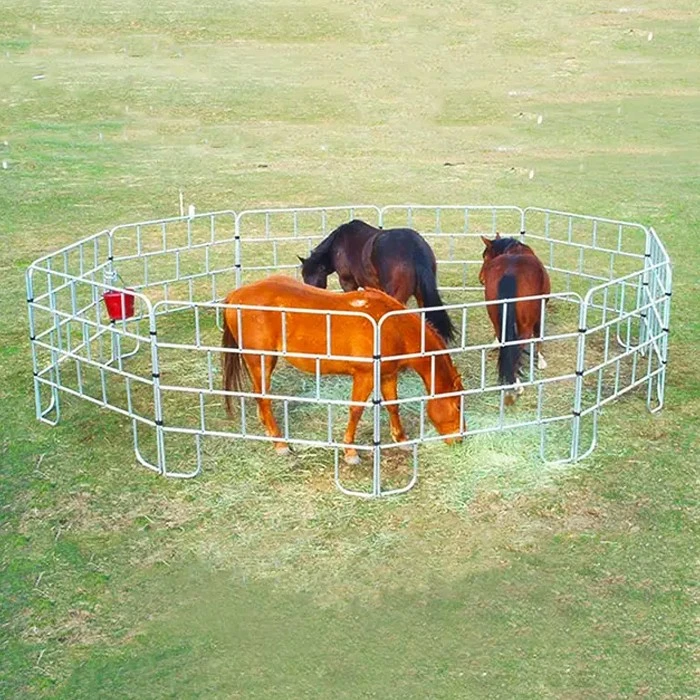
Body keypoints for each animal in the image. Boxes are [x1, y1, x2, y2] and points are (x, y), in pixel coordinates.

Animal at [221, 276, 464, 464]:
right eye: (458, 405)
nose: (459, 439)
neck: (392, 327)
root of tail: (236, 295)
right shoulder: (365, 376)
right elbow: (356, 411)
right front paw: (350, 451)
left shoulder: (387, 375)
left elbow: (393, 406)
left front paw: (402, 440)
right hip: (259, 362)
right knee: (264, 398)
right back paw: (280, 443)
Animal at [479, 234, 551, 405]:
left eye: (485, 257)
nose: (481, 279)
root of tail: (510, 272)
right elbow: (539, 335)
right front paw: (541, 360)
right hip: (526, 326)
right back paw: (516, 384)